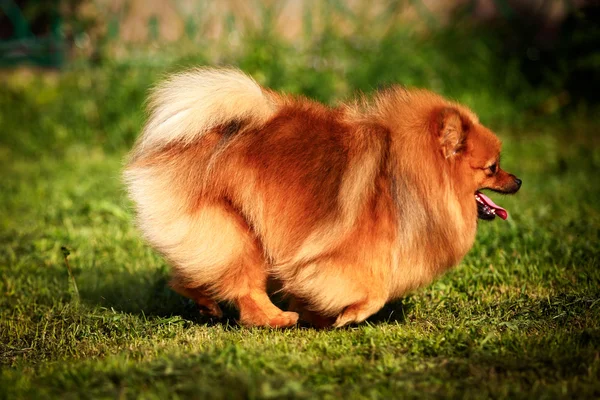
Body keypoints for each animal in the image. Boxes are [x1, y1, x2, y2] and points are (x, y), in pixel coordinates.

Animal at [124, 67, 524, 326]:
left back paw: (209, 303)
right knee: (245, 286)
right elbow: (373, 291)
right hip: (234, 231)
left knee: (196, 272)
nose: (518, 180)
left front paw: (318, 315)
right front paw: (347, 316)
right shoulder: (347, 254)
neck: (403, 174)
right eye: (492, 168)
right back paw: (275, 319)